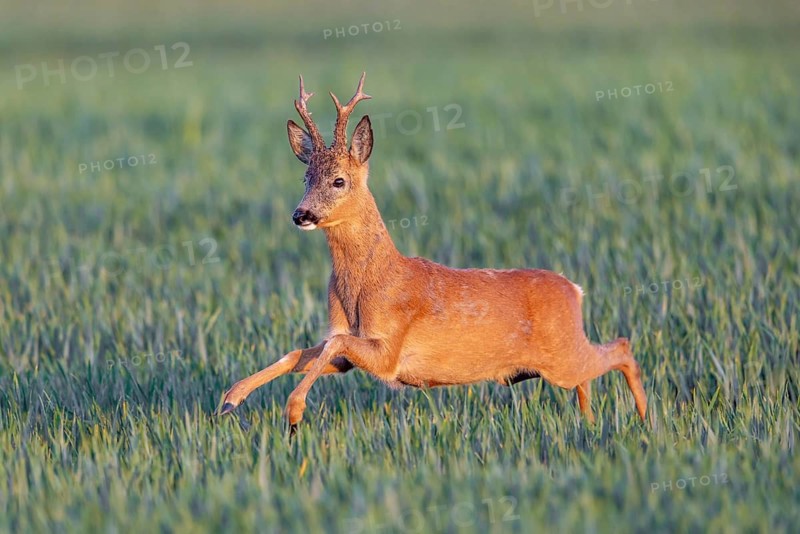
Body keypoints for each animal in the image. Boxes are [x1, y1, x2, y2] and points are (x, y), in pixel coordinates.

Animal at [219, 72, 648, 430]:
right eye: (305, 177)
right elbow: (301, 352)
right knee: (591, 374)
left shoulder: (389, 348)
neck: (370, 280)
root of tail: (574, 289)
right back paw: (591, 420)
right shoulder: (344, 347)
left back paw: (644, 420)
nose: (301, 214)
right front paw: (231, 398)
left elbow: (334, 345)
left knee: (621, 349)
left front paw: (293, 412)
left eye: (338, 180)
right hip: (561, 357)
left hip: (562, 353)